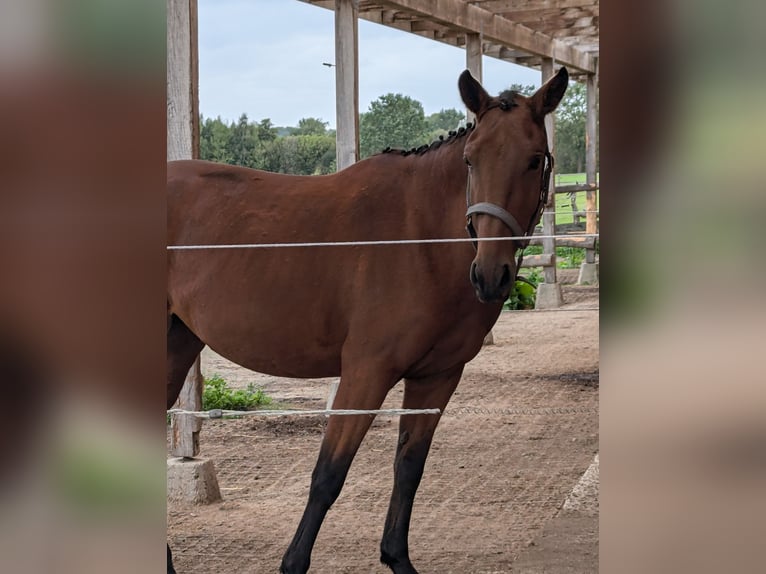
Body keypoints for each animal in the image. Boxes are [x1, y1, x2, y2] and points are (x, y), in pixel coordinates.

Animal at [168, 68, 568, 574]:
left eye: (534, 160)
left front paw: (396, 557)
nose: (490, 275)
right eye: (470, 159)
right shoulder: (365, 373)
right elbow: (328, 476)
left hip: (177, 342)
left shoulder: (437, 378)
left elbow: (408, 471)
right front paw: (293, 564)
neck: (420, 238)